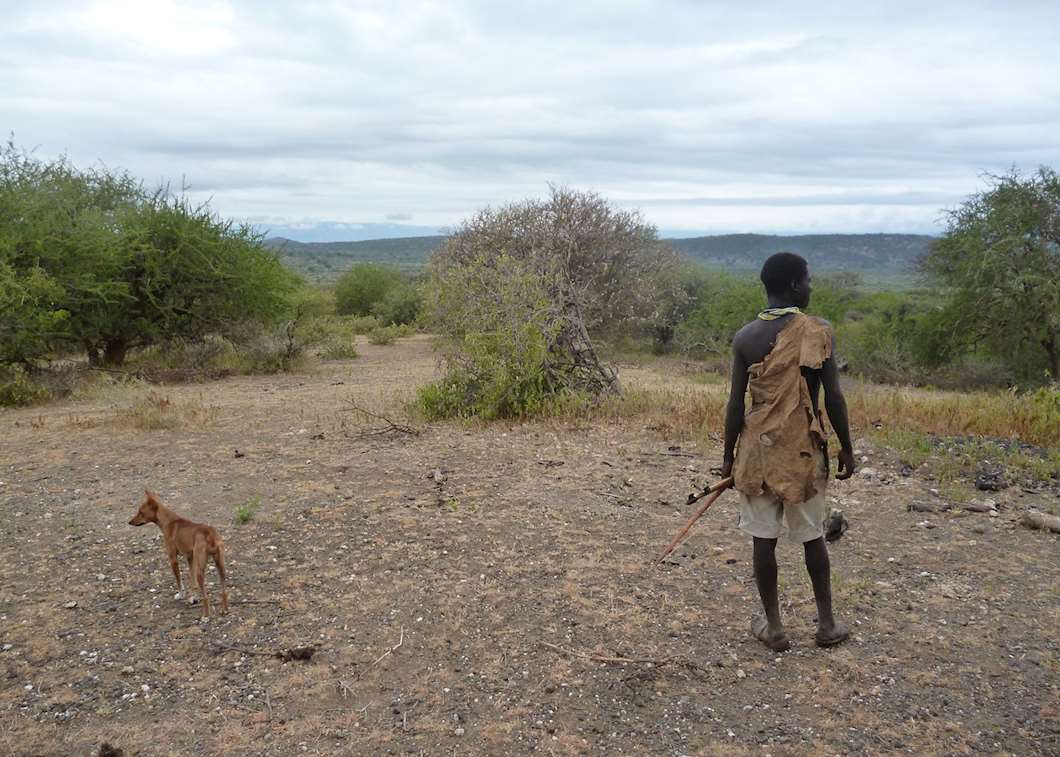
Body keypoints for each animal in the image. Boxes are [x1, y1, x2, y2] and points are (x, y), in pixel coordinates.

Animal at [128, 485, 227, 614]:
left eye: (141, 512)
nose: (129, 522)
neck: (169, 521)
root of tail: (209, 533)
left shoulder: (173, 558)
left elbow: (179, 580)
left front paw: (181, 595)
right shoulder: (190, 559)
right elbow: (192, 581)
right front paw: (193, 598)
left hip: (201, 568)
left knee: (206, 597)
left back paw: (206, 615)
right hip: (220, 566)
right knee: (224, 590)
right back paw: (225, 609)